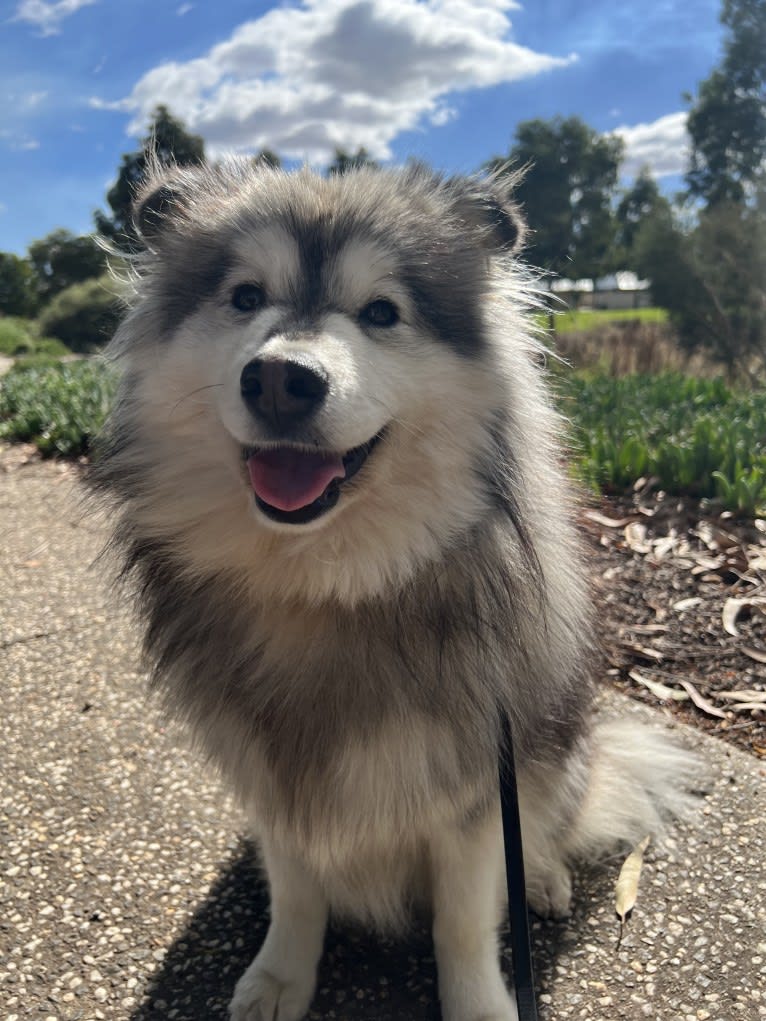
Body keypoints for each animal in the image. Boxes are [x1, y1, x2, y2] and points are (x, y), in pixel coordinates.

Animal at [91, 161, 702, 1021]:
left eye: (381, 311)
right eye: (245, 296)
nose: (280, 380)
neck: (325, 585)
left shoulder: (479, 789)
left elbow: (464, 920)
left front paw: (478, 1003)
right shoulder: (279, 780)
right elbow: (298, 892)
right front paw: (281, 976)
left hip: (554, 749)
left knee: (553, 822)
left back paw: (544, 878)